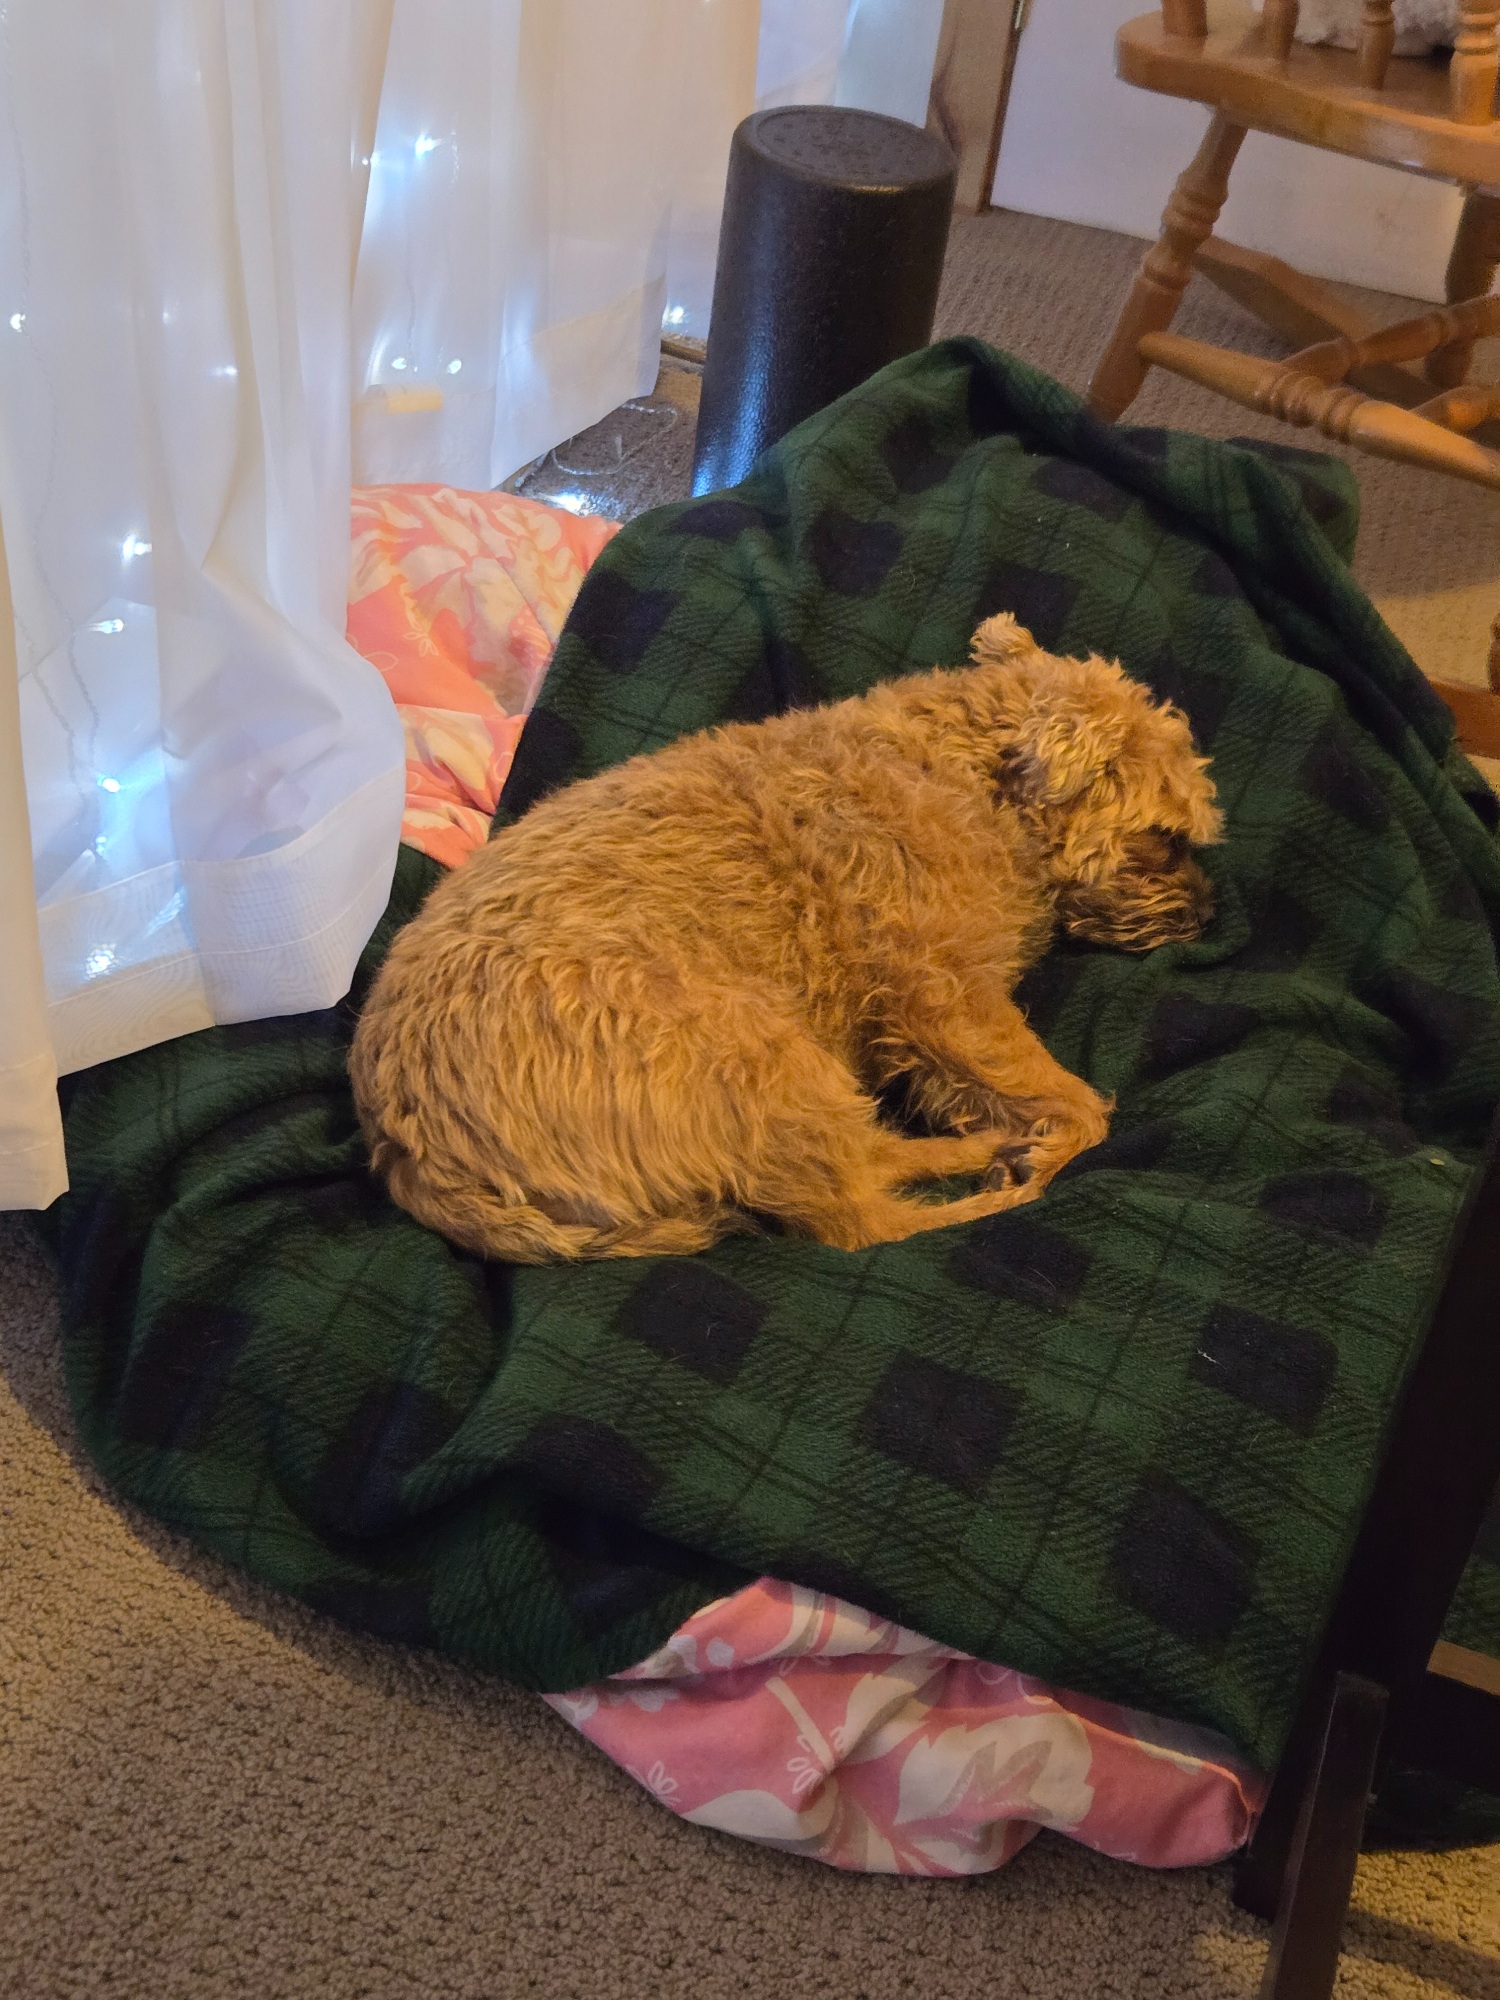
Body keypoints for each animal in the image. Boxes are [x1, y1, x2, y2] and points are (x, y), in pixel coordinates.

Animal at [350, 614, 1221, 1262]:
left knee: (866, 1170)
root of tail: (412, 1150)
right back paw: (988, 1180)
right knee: (861, 1220)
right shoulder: (949, 1001)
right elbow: (1083, 1107)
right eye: (1163, 837)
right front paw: (1056, 1138)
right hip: (755, 1051)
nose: (1208, 916)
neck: (970, 772)